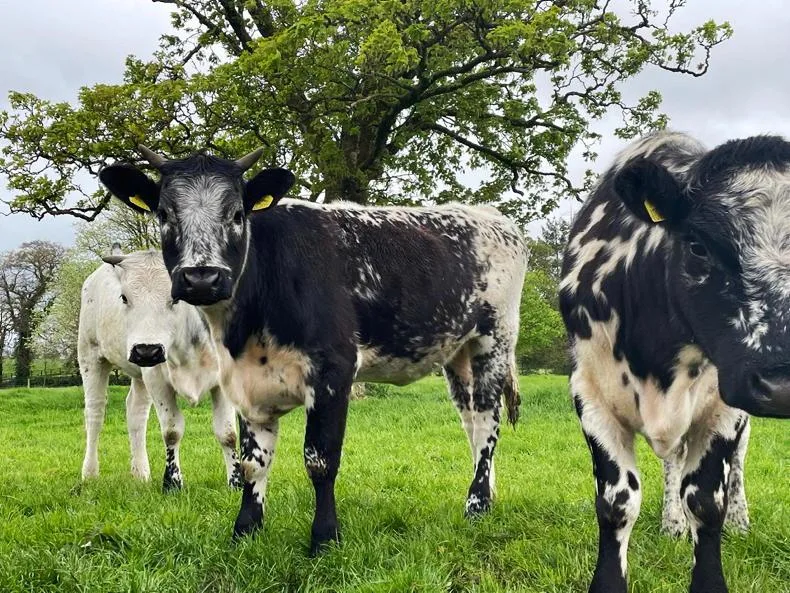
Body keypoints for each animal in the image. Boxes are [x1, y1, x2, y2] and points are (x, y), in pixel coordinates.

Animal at [79, 246, 242, 491]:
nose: (146, 351)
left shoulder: (223, 381)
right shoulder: (157, 380)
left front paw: (236, 483)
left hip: (140, 375)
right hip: (90, 356)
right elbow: (172, 431)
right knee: (95, 414)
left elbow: (228, 433)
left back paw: (140, 473)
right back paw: (89, 473)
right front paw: (172, 483)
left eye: (176, 297)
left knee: (135, 412)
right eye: (124, 297)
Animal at [97, 146, 527, 555]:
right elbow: (253, 463)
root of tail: (487, 215)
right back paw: (488, 492)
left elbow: (320, 460)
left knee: (487, 421)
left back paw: (477, 505)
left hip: (494, 340)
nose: (202, 278)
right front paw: (245, 531)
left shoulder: (333, 371)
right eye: (164, 214)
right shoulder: (246, 382)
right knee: (470, 422)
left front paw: (324, 538)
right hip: (458, 353)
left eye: (237, 214)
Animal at [559, 130, 790, 593]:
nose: (781, 384)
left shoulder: (723, 405)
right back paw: (672, 524)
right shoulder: (589, 392)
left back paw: (739, 521)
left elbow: (706, 500)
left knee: (736, 466)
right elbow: (617, 502)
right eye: (697, 246)